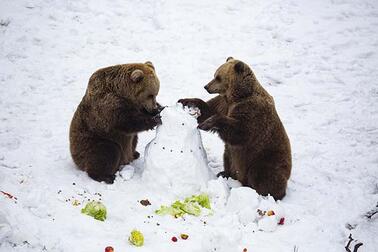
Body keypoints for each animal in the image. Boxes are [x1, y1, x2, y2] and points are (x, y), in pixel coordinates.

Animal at [179, 57, 290, 199]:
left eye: (218, 77)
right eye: (215, 75)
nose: (206, 86)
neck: (237, 96)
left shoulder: (252, 112)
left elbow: (240, 131)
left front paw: (207, 124)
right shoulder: (224, 104)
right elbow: (208, 109)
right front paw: (186, 101)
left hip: (266, 158)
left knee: (262, 175)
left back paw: (268, 193)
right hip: (234, 157)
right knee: (228, 159)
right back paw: (225, 173)